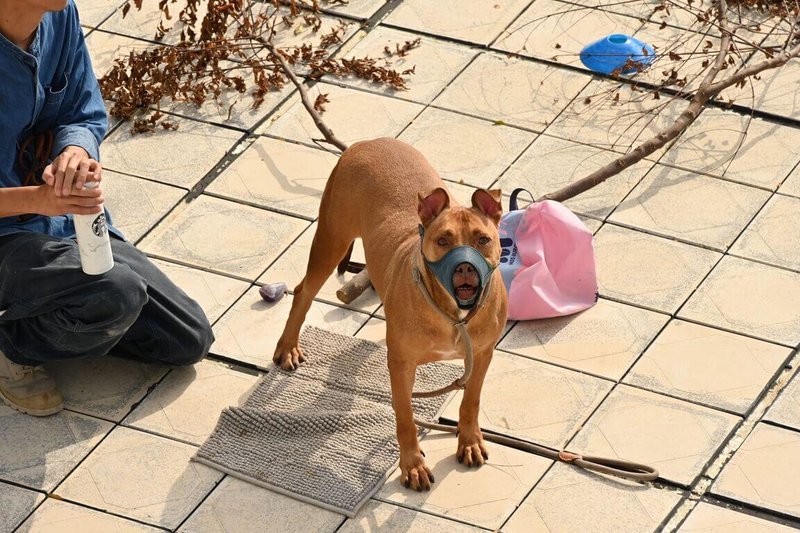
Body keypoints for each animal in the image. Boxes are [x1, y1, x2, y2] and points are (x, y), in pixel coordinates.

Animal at [276, 137, 506, 490]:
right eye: (443, 240)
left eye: (483, 239)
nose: (465, 267)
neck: (453, 314)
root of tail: (365, 143)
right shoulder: (401, 365)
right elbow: (404, 415)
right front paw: (412, 465)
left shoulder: (482, 354)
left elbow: (471, 400)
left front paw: (468, 441)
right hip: (331, 239)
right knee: (303, 292)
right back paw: (287, 347)